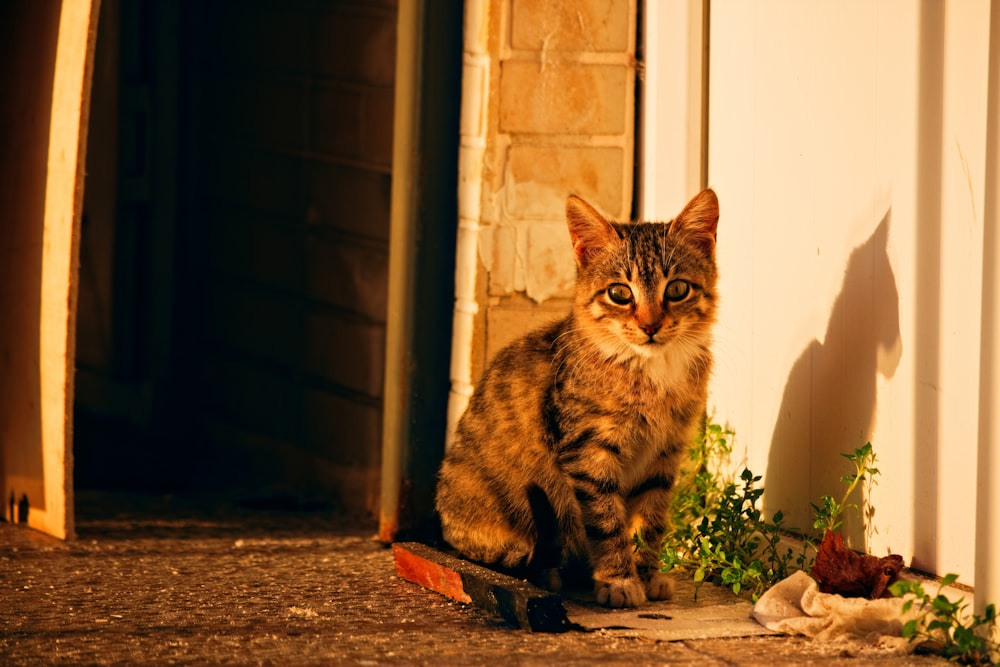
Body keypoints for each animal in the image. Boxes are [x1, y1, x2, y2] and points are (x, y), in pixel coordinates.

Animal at [438, 187, 720, 604]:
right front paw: (619, 580)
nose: (650, 326)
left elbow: (651, 520)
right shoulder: (588, 452)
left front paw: (648, 573)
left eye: (677, 289)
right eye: (619, 293)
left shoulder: (665, 453)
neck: (649, 372)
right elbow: (607, 522)